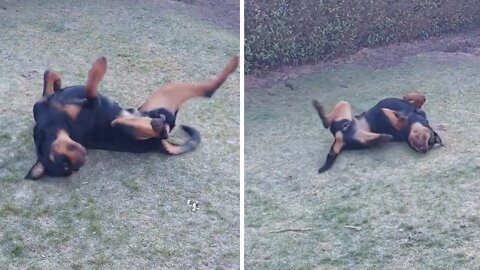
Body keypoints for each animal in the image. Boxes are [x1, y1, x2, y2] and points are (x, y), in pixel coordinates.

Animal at [25, 55, 239, 179]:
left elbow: (49, 74)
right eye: (66, 166)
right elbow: (91, 86)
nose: (83, 158)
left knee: (207, 90)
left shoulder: (46, 102)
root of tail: (159, 145)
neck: (53, 122)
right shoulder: (93, 103)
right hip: (137, 122)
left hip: (164, 93)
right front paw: (98, 68)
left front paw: (58, 83)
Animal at [312, 93, 442, 173]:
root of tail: (339, 138)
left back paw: (384, 137)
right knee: (327, 121)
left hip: (358, 137)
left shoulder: (399, 126)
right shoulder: (416, 111)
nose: (424, 149)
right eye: (429, 139)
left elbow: (395, 117)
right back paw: (318, 108)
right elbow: (420, 97)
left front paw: (394, 114)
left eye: (429, 143)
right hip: (344, 106)